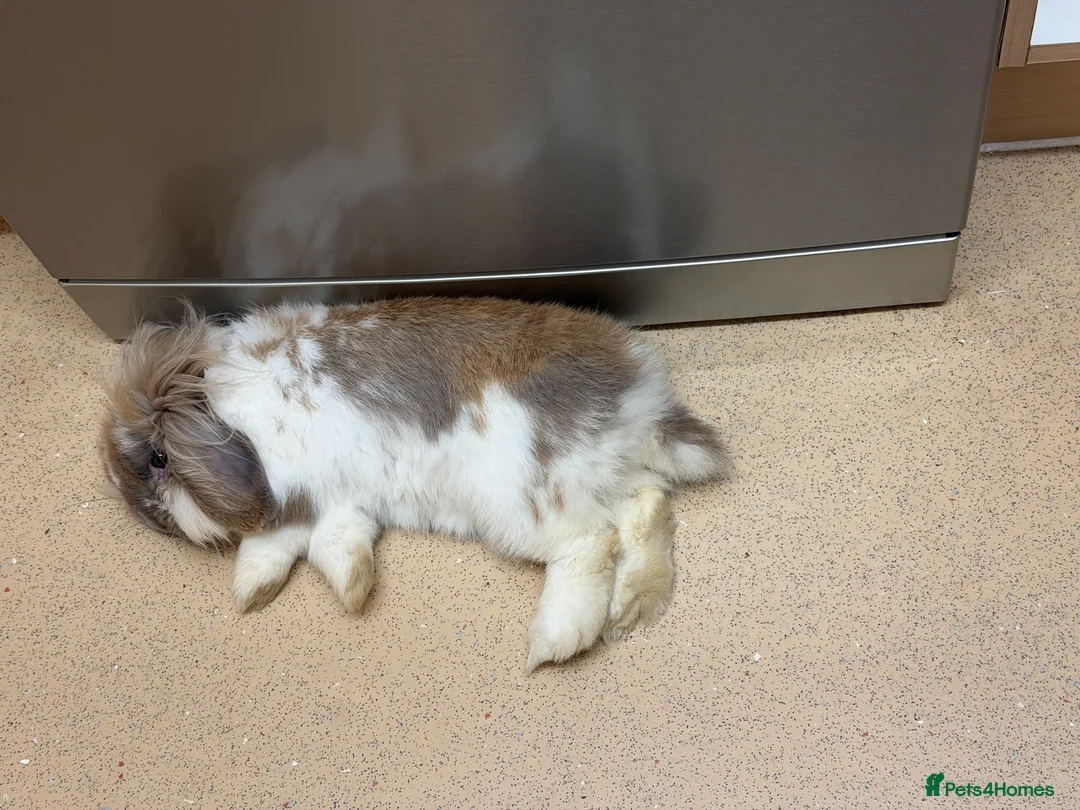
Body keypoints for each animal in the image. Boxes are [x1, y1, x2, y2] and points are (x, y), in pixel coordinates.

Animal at [100, 297, 729, 669]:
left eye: (158, 458)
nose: (148, 518)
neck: (232, 410)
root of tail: (641, 399)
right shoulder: (327, 501)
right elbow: (310, 544)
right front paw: (288, 590)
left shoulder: (303, 481)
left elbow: (302, 540)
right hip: (602, 476)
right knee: (646, 507)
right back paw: (633, 604)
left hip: (521, 498)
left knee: (590, 542)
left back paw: (557, 638)